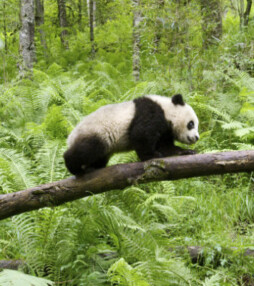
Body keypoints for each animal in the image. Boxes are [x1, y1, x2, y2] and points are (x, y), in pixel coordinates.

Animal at [63, 94, 198, 175]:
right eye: (191, 124)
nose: (196, 137)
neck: (166, 109)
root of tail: (71, 137)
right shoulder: (150, 112)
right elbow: (140, 134)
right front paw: (152, 155)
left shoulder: (165, 130)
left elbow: (165, 146)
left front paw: (186, 151)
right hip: (97, 132)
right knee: (87, 149)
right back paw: (75, 167)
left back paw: (93, 167)